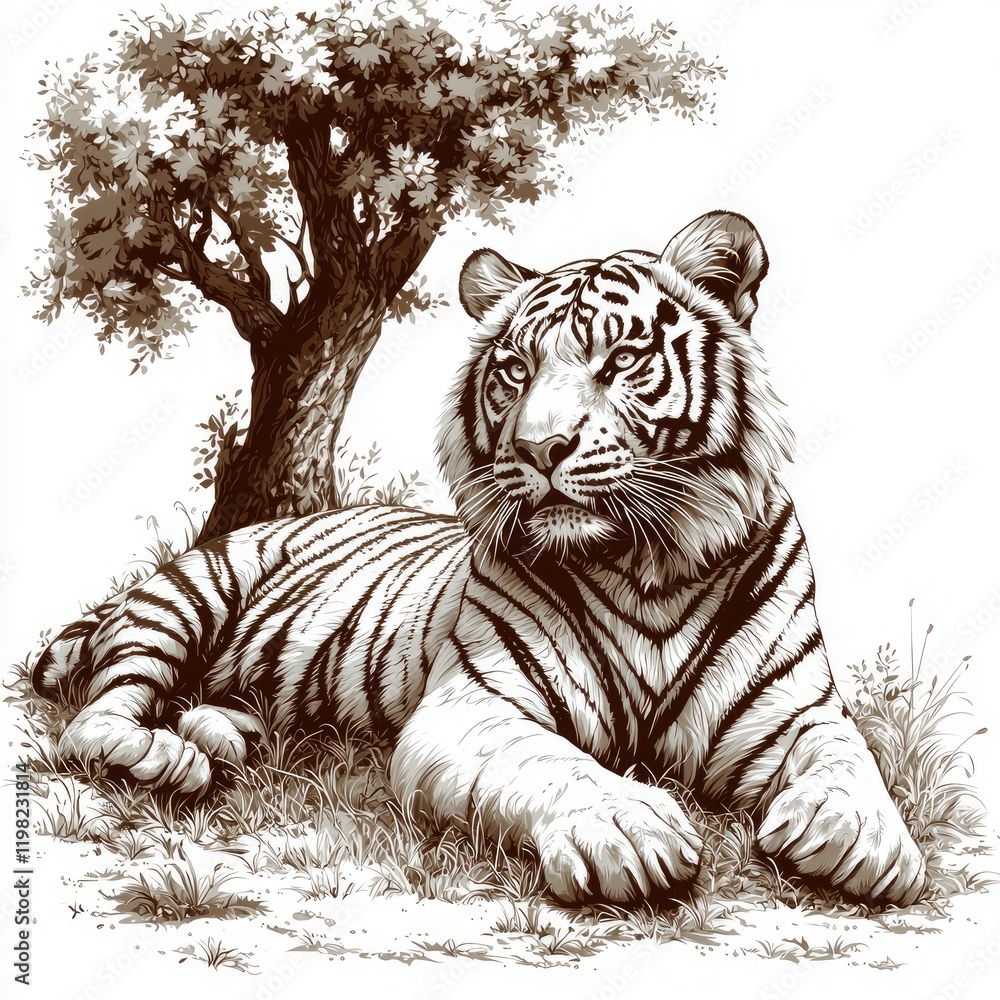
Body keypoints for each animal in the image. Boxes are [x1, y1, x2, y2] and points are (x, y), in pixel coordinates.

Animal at [32, 211, 927, 908]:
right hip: (184, 594)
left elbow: (849, 758)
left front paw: (863, 838)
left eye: (621, 361)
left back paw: (224, 735)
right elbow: (556, 763)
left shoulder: (797, 713)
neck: (649, 566)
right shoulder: (473, 707)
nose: (539, 447)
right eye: (515, 370)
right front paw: (629, 826)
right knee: (96, 716)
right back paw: (165, 754)